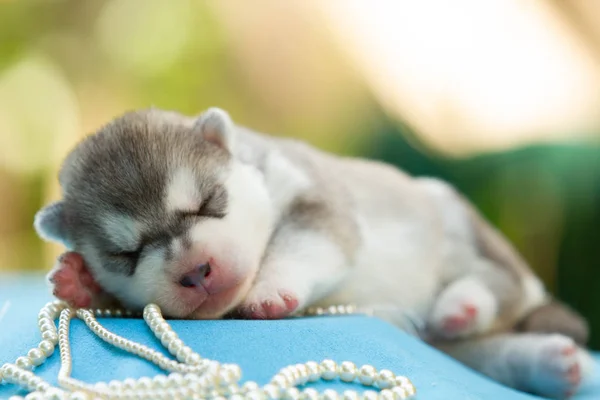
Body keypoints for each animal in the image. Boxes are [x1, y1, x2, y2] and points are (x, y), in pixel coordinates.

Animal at [36, 108, 592, 398]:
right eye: (126, 253)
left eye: (209, 204)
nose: (197, 271)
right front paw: (80, 282)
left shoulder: (317, 202)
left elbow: (300, 245)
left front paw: (266, 292)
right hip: (438, 335)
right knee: (479, 351)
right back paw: (544, 362)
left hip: (457, 220)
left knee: (505, 284)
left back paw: (464, 303)